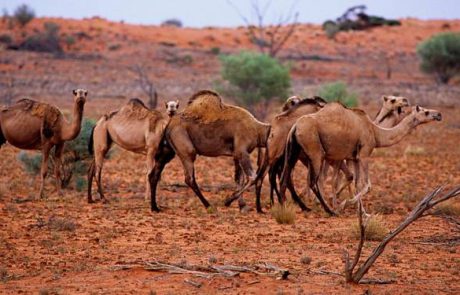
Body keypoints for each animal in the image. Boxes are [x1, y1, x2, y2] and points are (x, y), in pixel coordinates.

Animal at [280, 103, 442, 215]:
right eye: (426, 111)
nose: (439, 114)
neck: (375, 132)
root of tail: (295, 127)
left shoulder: (355, 158)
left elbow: (358, 183)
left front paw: (361, 211)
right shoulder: (364, 154)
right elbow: (368, 185)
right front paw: (344, 204)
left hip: (293, 151)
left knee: (285, 177)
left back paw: (289, 206)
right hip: (315, 151)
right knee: (314, 181)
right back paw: (329, 210)